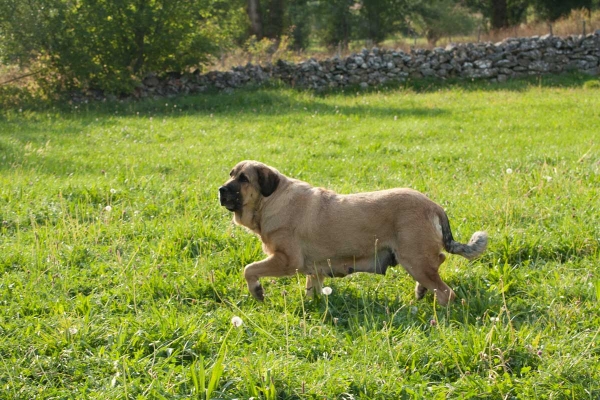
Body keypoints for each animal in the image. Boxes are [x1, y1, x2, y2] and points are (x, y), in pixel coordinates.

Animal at [220, 161, 488, 304]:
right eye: (231, 174)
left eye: (243, 179)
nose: (220, 190)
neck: (271, 199)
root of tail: (434, 206)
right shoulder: (314, 271)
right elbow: (312, 290)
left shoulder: (286, 261)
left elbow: (249, 269)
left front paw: (257, 291)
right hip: (415, 260)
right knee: (438, 267)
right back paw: (421, 291)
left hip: (414, 259)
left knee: (446, 291)